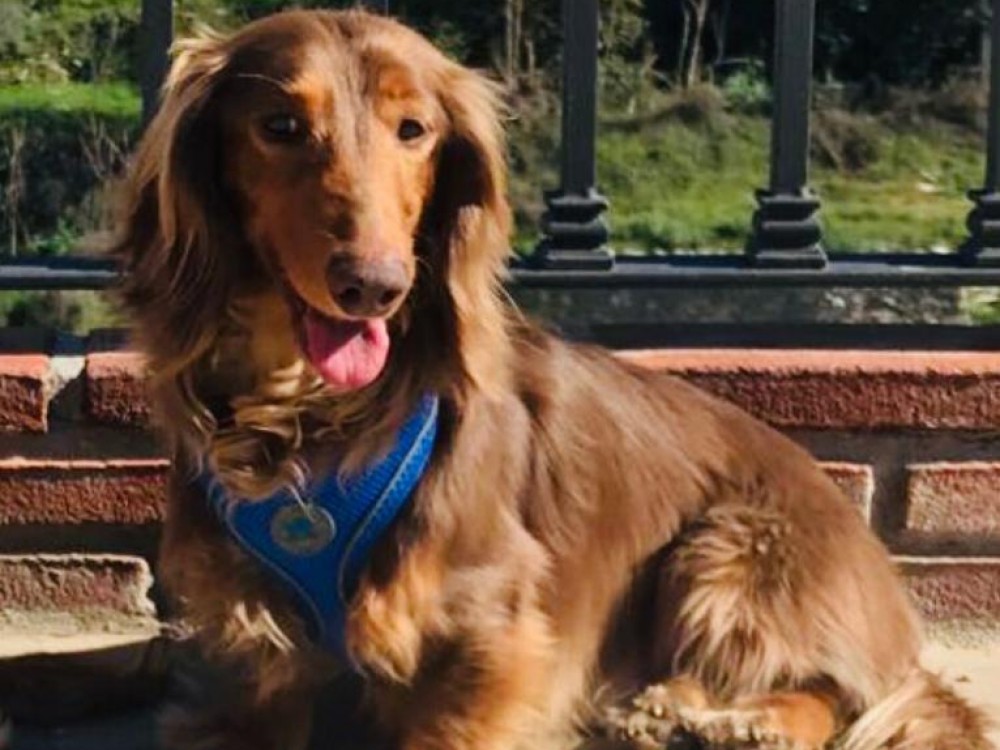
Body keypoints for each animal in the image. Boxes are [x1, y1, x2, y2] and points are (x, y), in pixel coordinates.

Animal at [112, 9, 994, 750]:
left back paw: (741, 721)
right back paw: (665, 710)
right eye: (281, 126)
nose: (374, 285)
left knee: (840, 694)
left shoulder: (488, 624)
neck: (316, 413)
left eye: (413, 129)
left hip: (725, 550)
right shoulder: (248, 649)